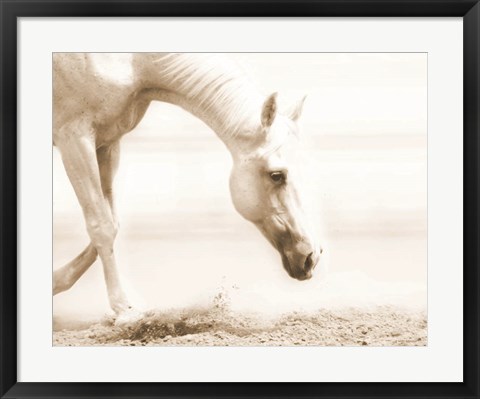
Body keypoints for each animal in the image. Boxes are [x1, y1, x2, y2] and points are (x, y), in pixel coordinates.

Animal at [52, 53, 322, 318]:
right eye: (276, 175)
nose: (311, 256)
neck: (133, 63)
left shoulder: (107, 143)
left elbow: (111, 222)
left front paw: (55, 281)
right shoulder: (74, 137)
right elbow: (101, 226)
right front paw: (124, 309)